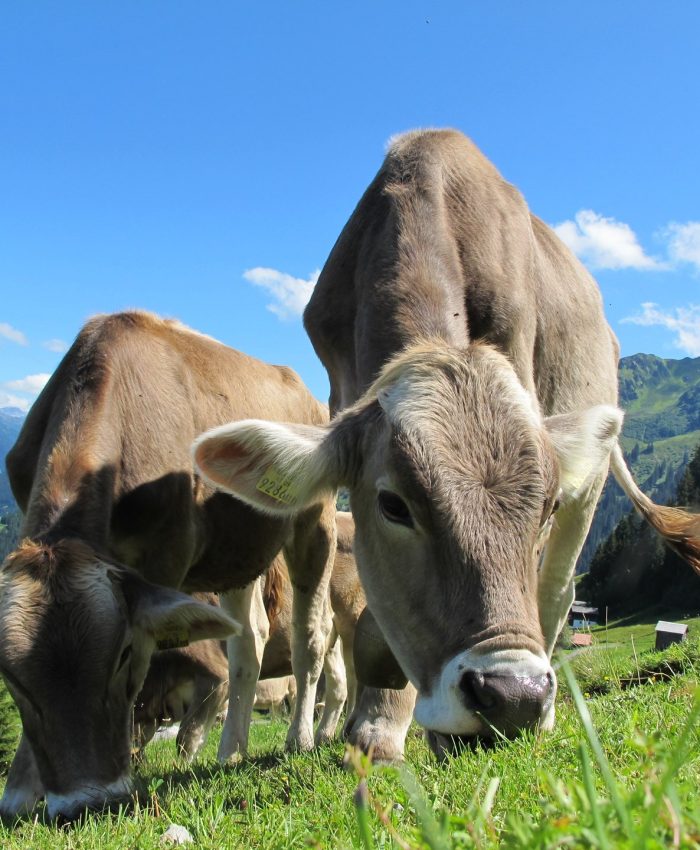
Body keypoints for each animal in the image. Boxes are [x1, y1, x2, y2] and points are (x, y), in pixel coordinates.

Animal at [0, 311, 336, 821]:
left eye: (122, 654)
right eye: (11, 677)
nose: (85, 802)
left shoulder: (164, 559)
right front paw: (20, 788)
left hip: (315, 523)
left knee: (309, 637)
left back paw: (300, 739)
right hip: (235, 552)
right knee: (249, 641)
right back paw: (231, 749)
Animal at [190, 129, 700, 761]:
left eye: (545, 506)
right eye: (392, 505)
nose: (515, 696)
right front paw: (377, 724)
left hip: (590, 486)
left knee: (556, 592)